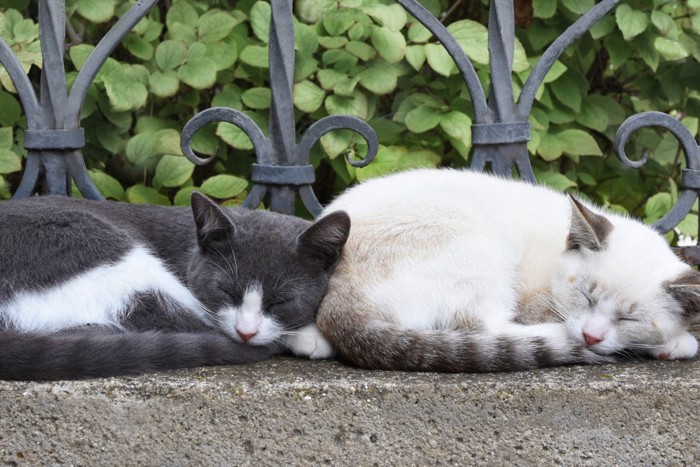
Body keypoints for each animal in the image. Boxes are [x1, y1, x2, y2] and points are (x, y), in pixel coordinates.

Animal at [0, 193, 350, 380]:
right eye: (226, 290)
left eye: (282, 301)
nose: (246, 332)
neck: (188, 247)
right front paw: (310, 336)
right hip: (96, 244)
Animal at [316, 169, 700, 372]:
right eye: (585, 296)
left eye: (628, 319)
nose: (591, 336)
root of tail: (334, 293)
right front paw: (674, 342)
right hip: (479, 246)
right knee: (484, 328)